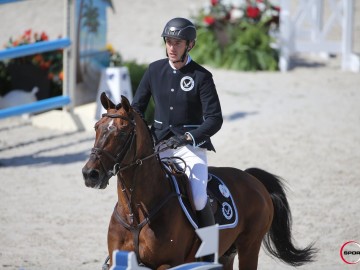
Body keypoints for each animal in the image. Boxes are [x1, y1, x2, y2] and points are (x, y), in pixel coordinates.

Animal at [82, 93, 318, 270]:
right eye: (96, 127)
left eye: (122, 133)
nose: (90, 174)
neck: (136, 213)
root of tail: (252, 180)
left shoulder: (168, 264)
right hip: (226, 254)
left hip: (250, 247)